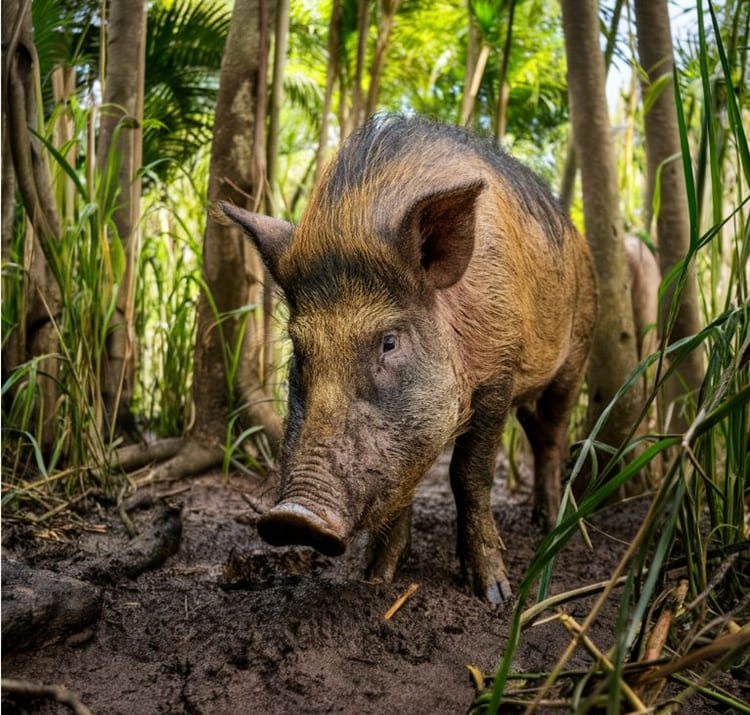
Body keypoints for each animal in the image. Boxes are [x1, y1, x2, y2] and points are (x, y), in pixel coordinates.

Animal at [219, 113, 600, 604]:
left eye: (389, 342)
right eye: (299, 348)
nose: (293, 517)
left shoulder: (499, 369)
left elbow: (469, 474)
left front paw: (494, 594)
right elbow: (404, 479)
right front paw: (375, 579)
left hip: (576, 353)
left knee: (551, 436)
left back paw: (548, 524)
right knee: (535, 431)